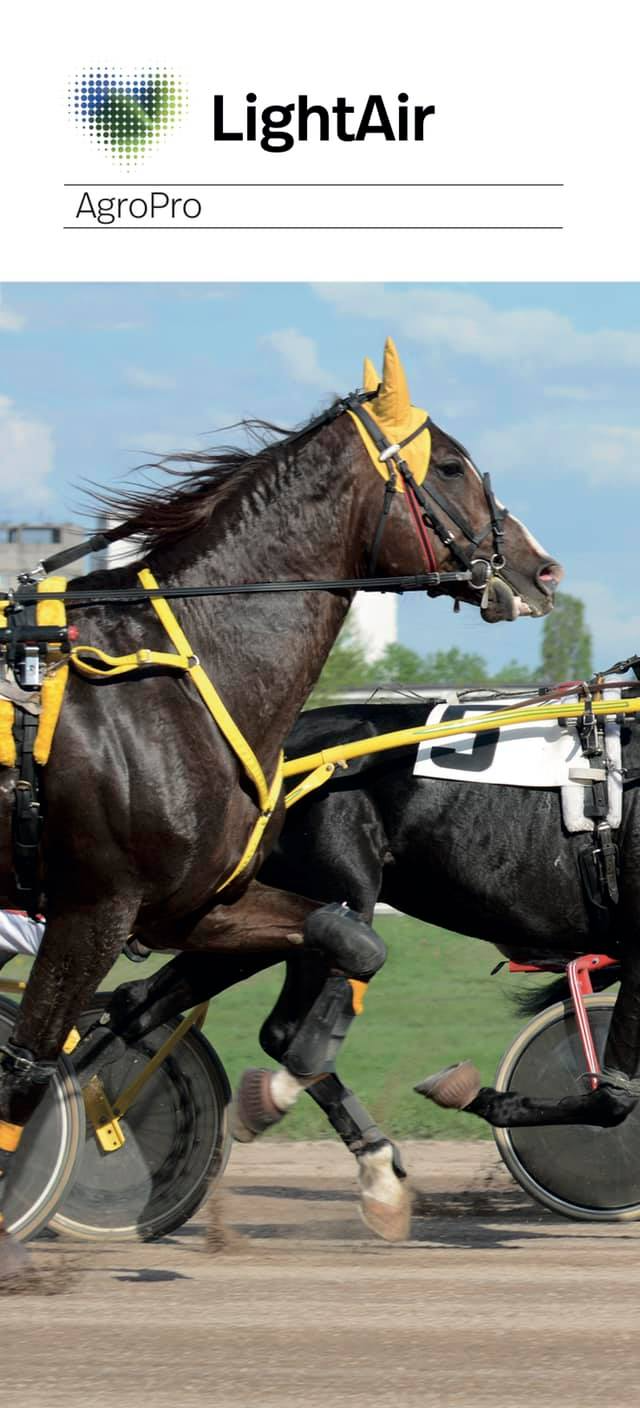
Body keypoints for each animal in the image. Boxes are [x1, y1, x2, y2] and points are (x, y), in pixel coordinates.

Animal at [0, 340, 559, 1279]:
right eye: (450, 465)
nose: (541, 567)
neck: (171, 682)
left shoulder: (193, 904)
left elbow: (350, 940)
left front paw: (323, 1114)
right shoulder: (92, 909)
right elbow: (31, 1060)